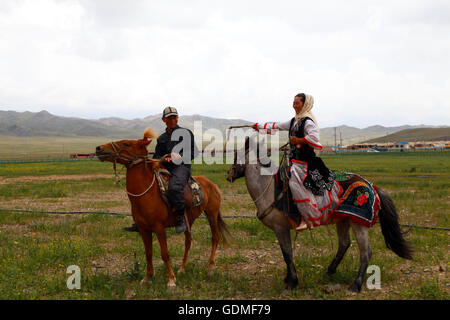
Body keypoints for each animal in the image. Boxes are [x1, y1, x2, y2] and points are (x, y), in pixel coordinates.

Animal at [94, 127, 229, 288]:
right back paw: (182, 268)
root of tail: (212, 184)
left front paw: (171, 280)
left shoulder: (159, 228)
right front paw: (147, 278)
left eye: (126, 143)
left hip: (212, 214)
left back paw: (210, 268)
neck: (145, 194)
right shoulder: (143, 229)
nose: (99, 148)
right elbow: (148, 253)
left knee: (215, 238)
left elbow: (165, 254)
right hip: (189, 220)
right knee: (188, 242)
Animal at [227, 136, 414, 292]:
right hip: (344, 221)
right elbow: (286, 252)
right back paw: (330, 270)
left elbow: (287, 253)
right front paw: (288, 278)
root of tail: (372, 186)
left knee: (365, 252)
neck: (268, 188)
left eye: (236, 156)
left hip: (359, 224)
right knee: (344, 244)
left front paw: (292, 282)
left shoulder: (280, 228)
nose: (228, 174)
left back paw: (356, 285)